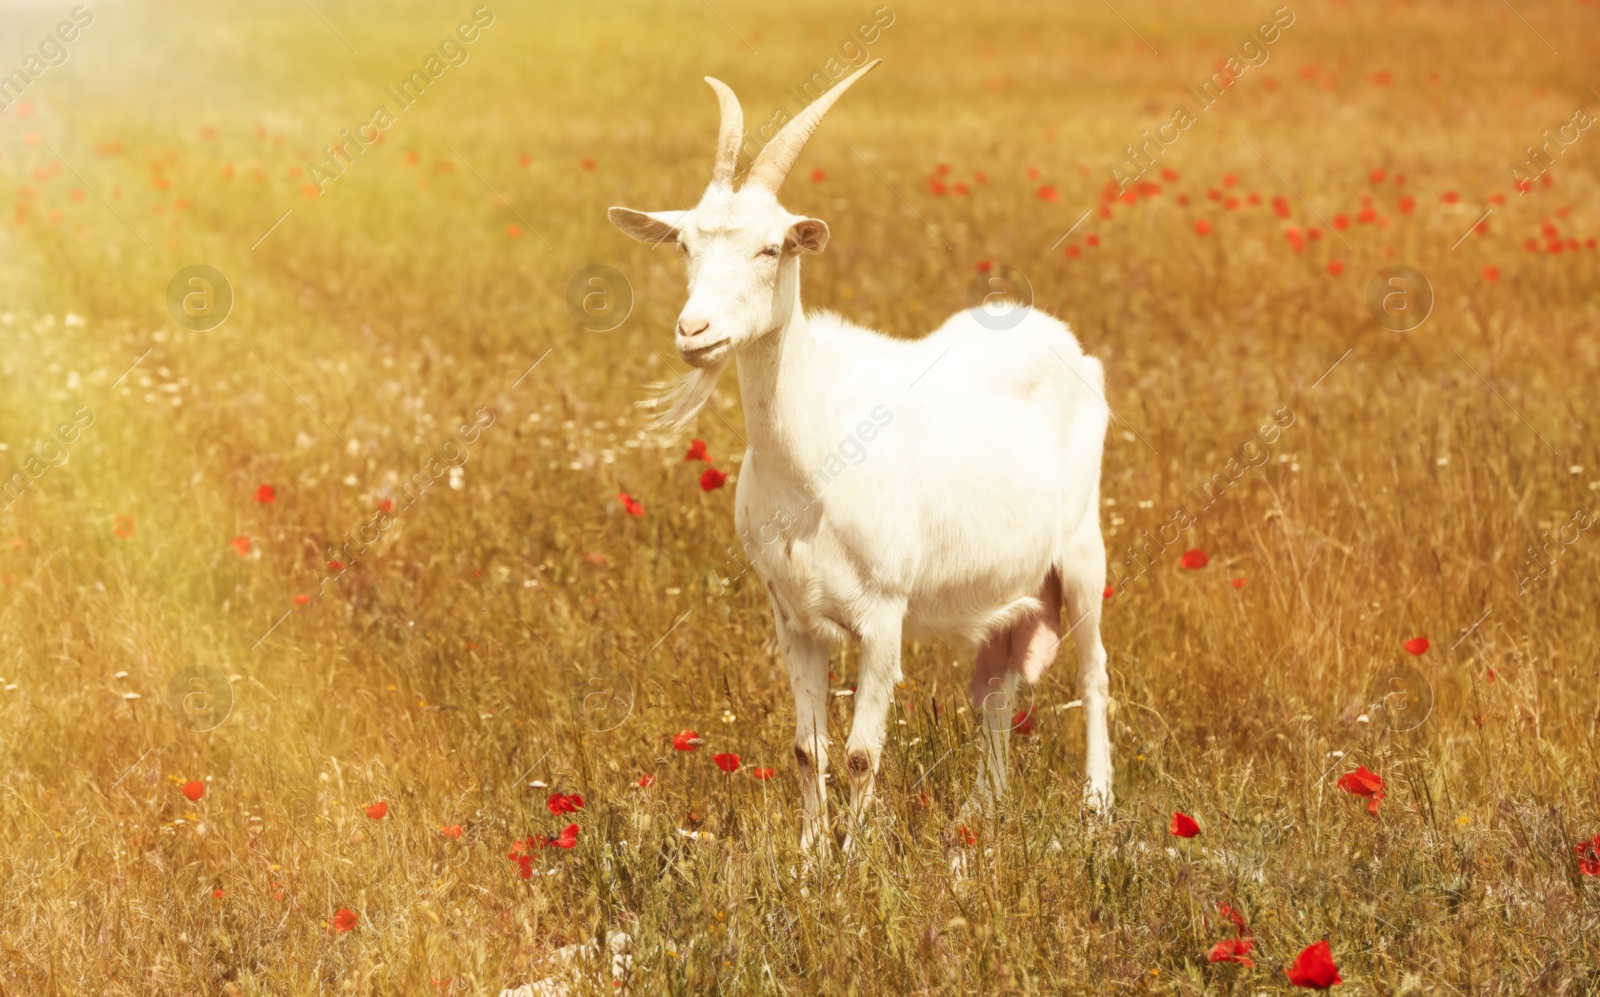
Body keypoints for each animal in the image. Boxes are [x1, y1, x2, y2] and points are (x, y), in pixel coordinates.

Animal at [611, 58, 1113, 844]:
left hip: (1083, 548)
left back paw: (1095, 806)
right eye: (687, 245)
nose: (695, 332)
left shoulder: (884, 615)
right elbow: (805, 749)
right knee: (996, 687)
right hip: (1012, 582)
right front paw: (811, 854)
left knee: (1094, 672)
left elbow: (858, 754)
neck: (814, 464)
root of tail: (1061, 341)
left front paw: (855, 857)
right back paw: (983, 809)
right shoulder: (791, 616)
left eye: (772, 246)